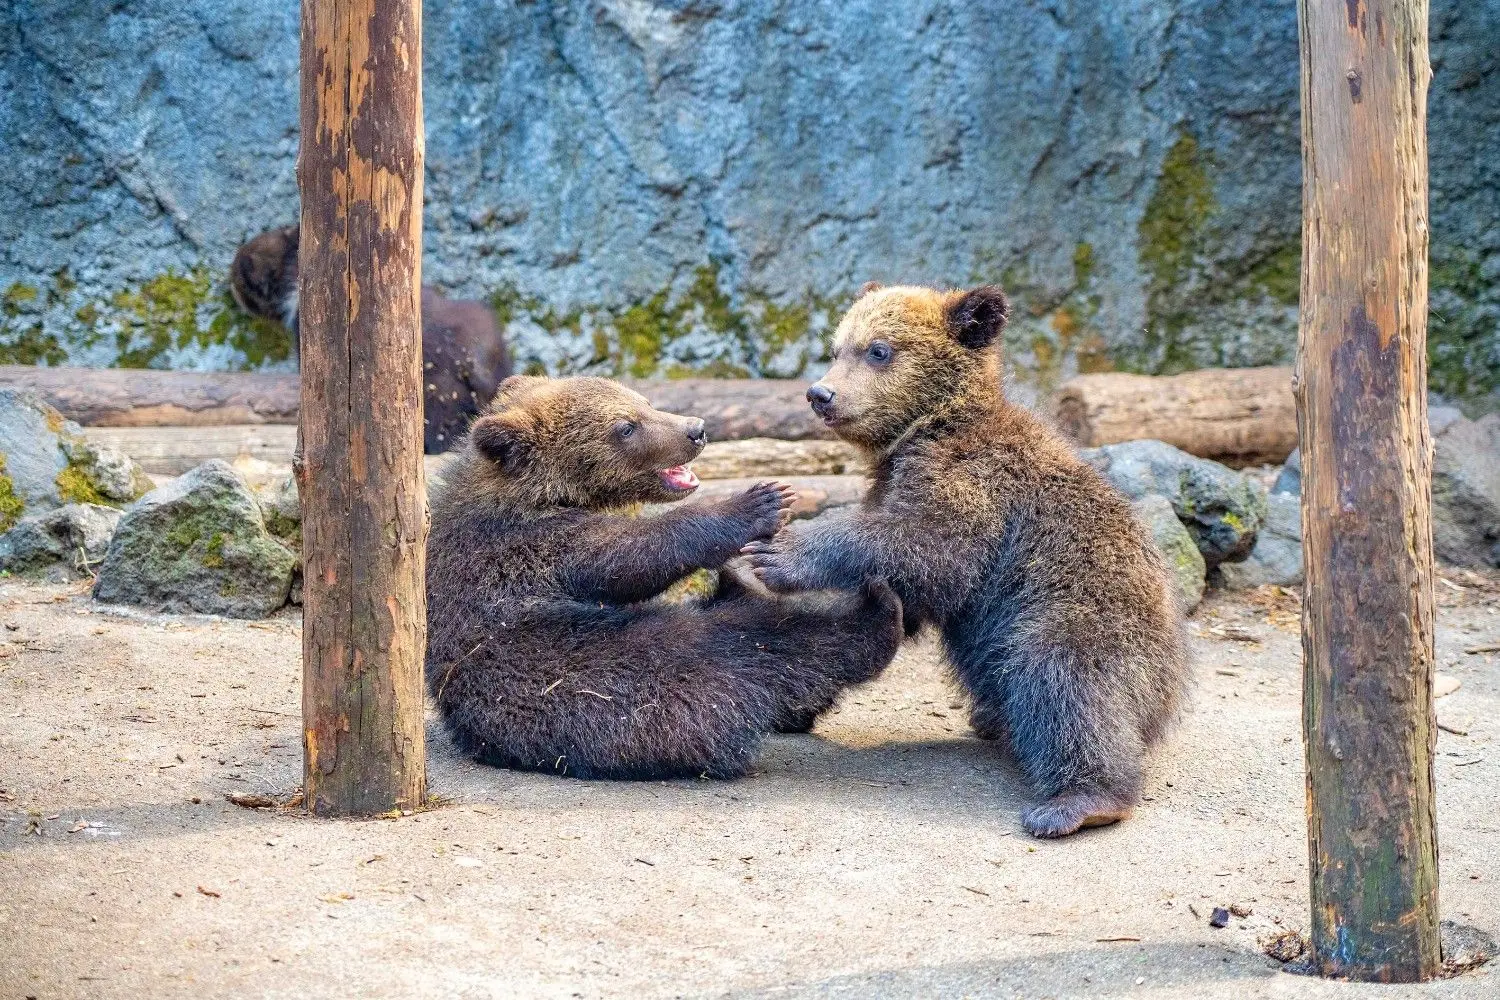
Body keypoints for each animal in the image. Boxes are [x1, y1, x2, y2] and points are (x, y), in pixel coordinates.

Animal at [425, 374, 906, 780]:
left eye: (644, 401)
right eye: (625, 427)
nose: (696, 428)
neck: (534, 494)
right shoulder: (532, 546)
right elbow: (629, 557)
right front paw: (760, 502)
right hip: (630, 679)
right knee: (761, 646)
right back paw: (877, 611)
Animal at [743, 283, 1189, 837]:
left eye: (879, 350)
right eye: (837, 347)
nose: (820, 394)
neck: (928, 429)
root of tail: (1169, 692)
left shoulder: (977, 485)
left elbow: (926, 548)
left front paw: (781, 552)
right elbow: (887, 598)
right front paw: (796, 698)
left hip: (1081, 612)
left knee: (1067, 682)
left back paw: (1079, 801)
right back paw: (994, 720)